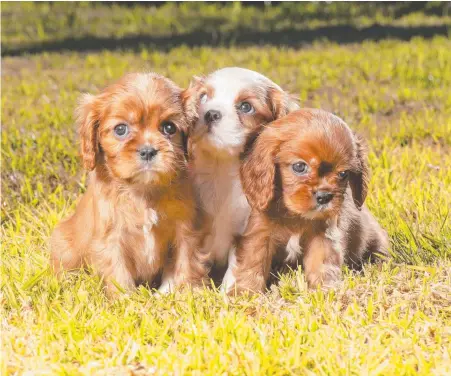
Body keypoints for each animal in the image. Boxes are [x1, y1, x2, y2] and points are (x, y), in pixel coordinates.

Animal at [51, 73, 208, 296]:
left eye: (169, 127)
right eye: (120, 129)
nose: (148, 151)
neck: (143, 190)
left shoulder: (185, 230)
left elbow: (186, 262)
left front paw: (183, 293)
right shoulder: (111, 239)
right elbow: (118, 272)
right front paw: (125, 299)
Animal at [178, 67, 302, 290]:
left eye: (246, 107)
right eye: (203, 97)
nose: (210, 113)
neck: (222, 167)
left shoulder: (252, 229)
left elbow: (244, 264)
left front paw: (235, 293)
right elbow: (187, 258)